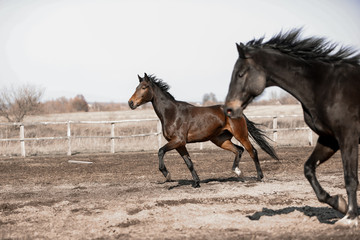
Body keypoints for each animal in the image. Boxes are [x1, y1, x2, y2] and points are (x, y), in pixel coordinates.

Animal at [129, 72, 278, 188]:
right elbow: (189, 163)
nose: (131, 103)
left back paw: (259, 176)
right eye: (136, 87)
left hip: (241, 135)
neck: (172, 113)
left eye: (144, 87)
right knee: (238, 150)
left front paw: (168, 175)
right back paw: (237, 172)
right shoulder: (180, 144)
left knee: (252, 151)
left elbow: (160, 151)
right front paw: (196, 182)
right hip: (220, 140)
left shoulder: (178, 141)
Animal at [225, 28, 360, 227]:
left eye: (240, 74)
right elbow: (308, 169)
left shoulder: (348, 137)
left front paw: (350, 217)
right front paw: (340, 204)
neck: (325, 86)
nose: (228, 109)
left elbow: (350, 178)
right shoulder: (329, 139)